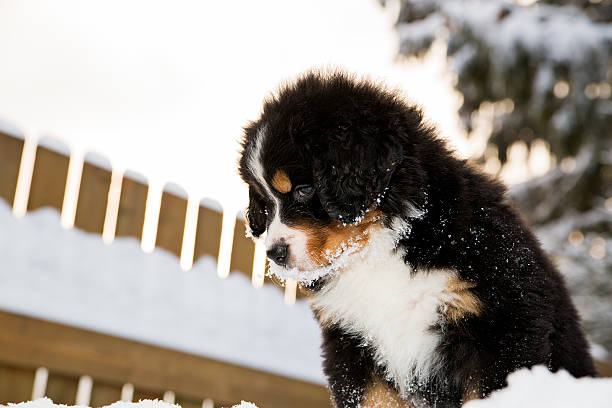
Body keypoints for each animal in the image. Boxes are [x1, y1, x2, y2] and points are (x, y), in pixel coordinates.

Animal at [237, 72, 596, 408]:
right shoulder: (352, 343)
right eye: (265, 204)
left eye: (304, 189)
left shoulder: (499, 332)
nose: (275, 254)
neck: (382, 250)